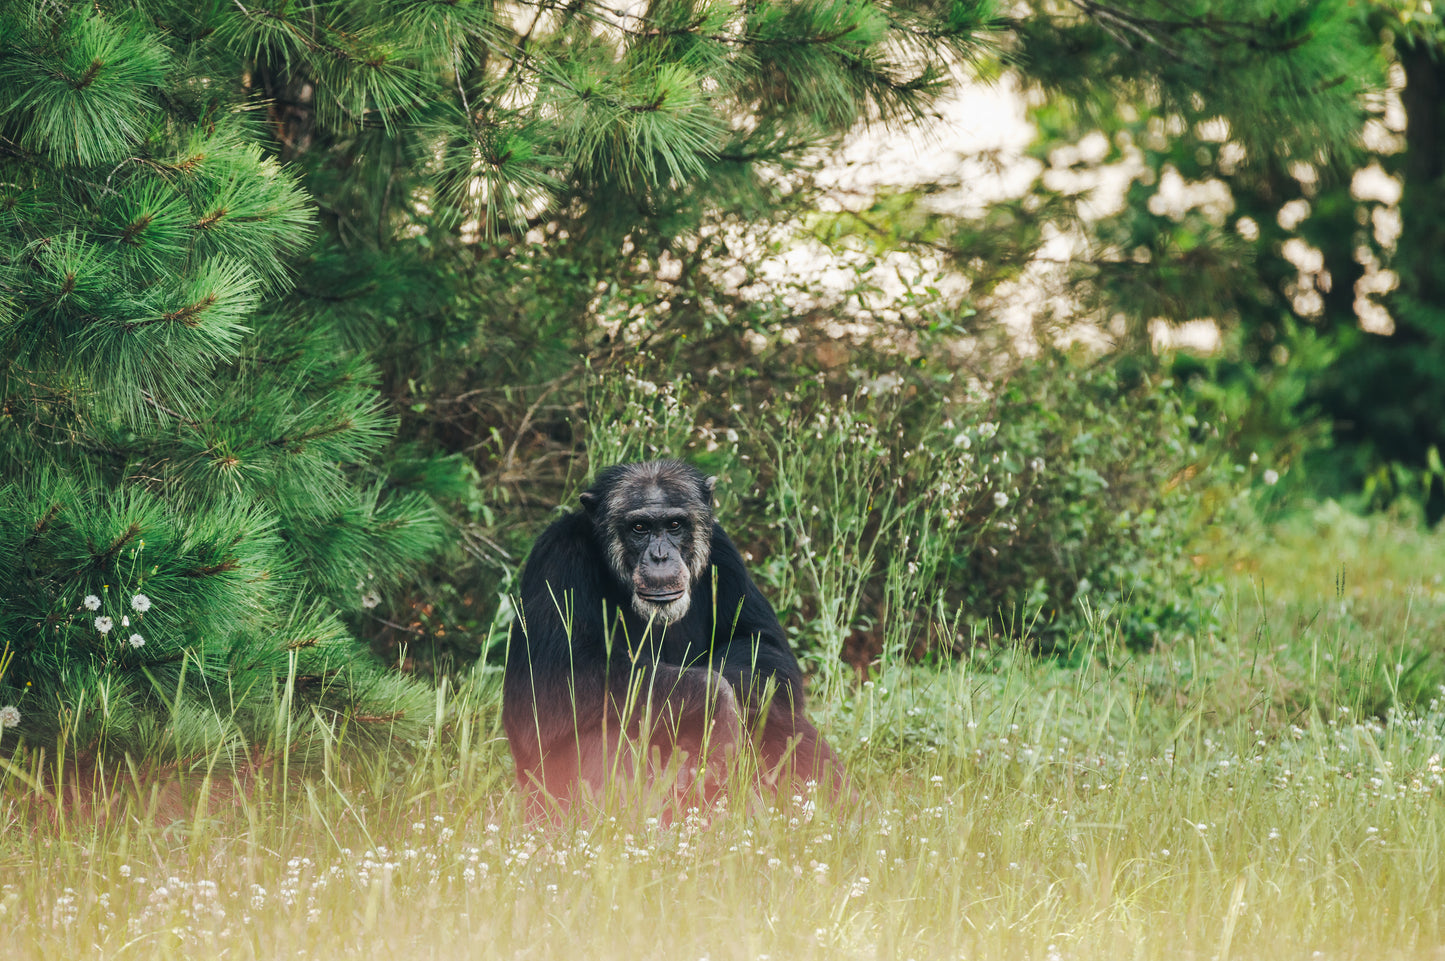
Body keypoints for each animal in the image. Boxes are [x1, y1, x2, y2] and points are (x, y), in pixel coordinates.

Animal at [505, 462, 843, 820]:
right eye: (639, 527)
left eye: (675, 525)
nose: (660, 555)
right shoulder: (557, 558)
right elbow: (548, 684)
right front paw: (717, 701)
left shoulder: (725, 550)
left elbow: (761, 643)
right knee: (602, 724)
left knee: (779, 714)